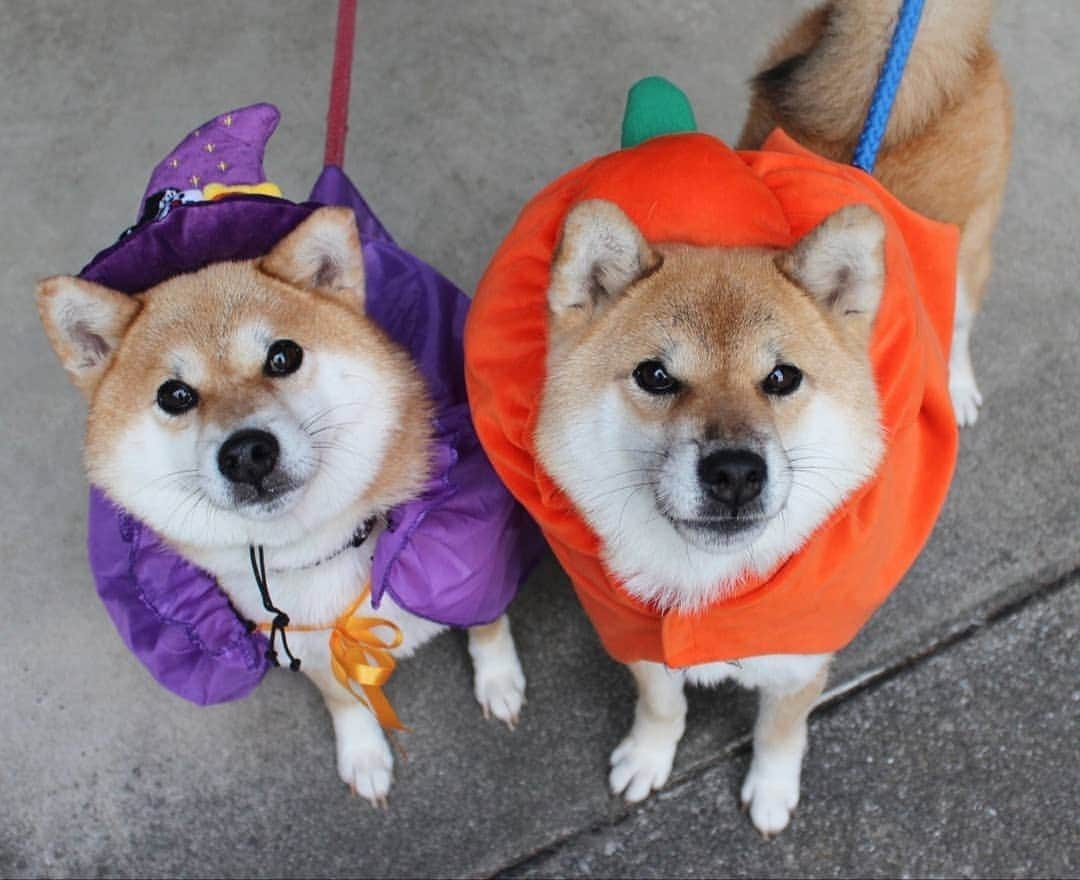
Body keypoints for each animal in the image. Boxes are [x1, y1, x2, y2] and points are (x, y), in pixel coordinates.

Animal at [535, 1, 1006, 837]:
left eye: (782, 378)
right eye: (655, 376)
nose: (733, 473)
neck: (714, 592)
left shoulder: (802, 657)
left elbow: (780, 729)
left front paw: (772, 787)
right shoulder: (642, 641)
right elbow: (661, 704)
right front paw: (649, 757)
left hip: (971, 255)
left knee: (958, 322)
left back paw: (956, 384)